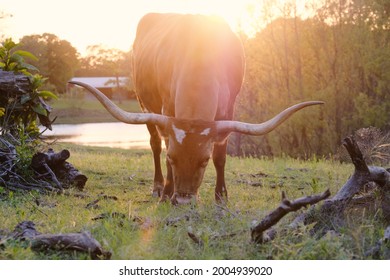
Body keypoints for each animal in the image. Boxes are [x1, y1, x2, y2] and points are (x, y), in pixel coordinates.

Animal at [69, 13, 322, 205]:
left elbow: (221, 156)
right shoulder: (166, 110)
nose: (183, 200)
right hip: (144, 104)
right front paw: (167, 193)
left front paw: (221, 196)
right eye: (172, 158)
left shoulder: (228, 111)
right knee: (154, 144)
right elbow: (165, 146)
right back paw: (158, 187)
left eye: (204, 161)